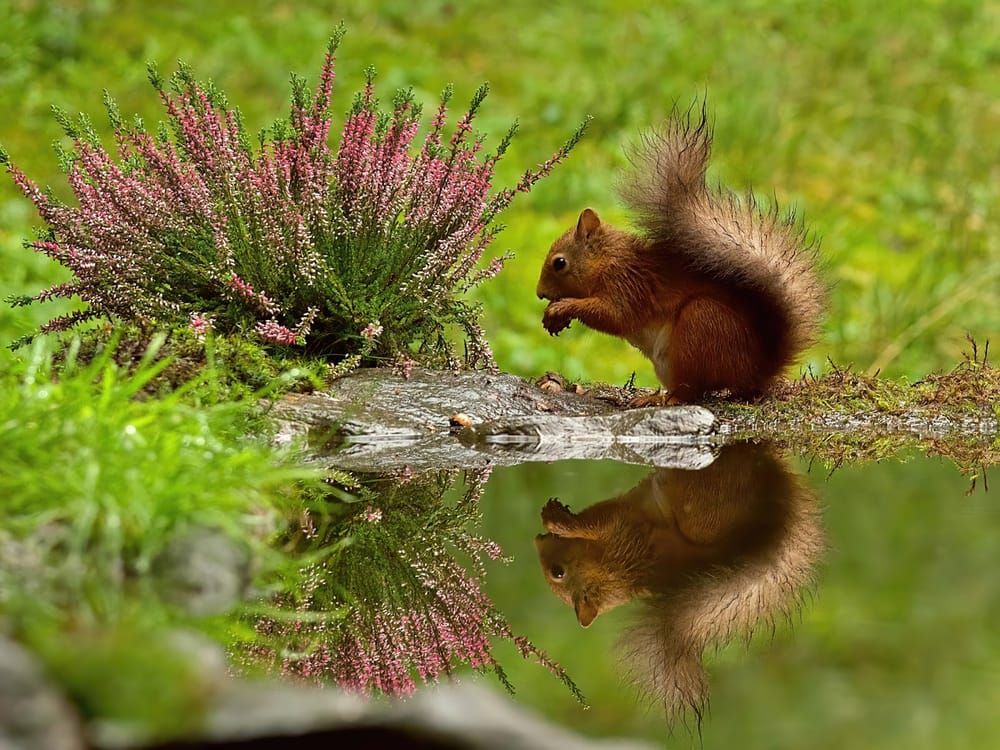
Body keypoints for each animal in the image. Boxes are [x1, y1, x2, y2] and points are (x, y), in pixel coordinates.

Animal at [534, 442, 824, 721]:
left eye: (558, 572)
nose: (538, 539)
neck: (611, 573)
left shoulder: (619, 529)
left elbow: (593, 521)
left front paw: (556, 519)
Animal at [536, 104, 825, 405]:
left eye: (559, 263)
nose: (540, 294)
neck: (608, 260)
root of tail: (756, 372)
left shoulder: (627, 285)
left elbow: (614, 316)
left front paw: (561, 308)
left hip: (698, 326)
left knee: (690, 391)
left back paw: (658, 399)